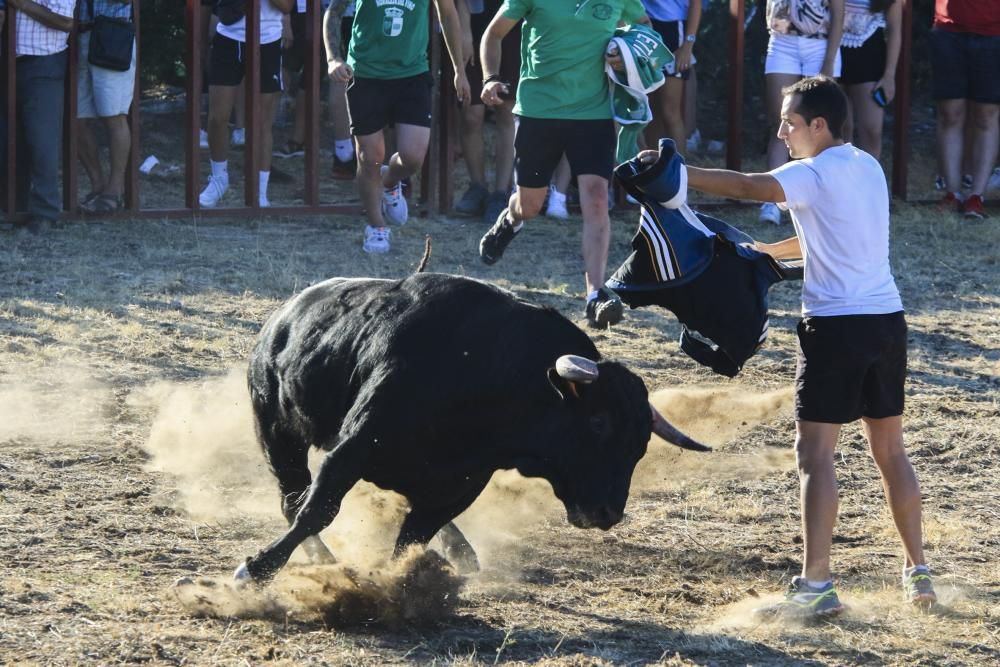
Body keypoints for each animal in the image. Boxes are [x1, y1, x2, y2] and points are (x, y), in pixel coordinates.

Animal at [234, 274, 708, 580]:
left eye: (641, 445)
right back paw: (322, 560)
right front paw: (255, 570)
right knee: (293, 498)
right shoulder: (354, 448)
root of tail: (282, 316)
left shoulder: (462, 483)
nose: (608, 513)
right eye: (597, 422)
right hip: (277, 432)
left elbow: (413, 538)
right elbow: (318, 510)